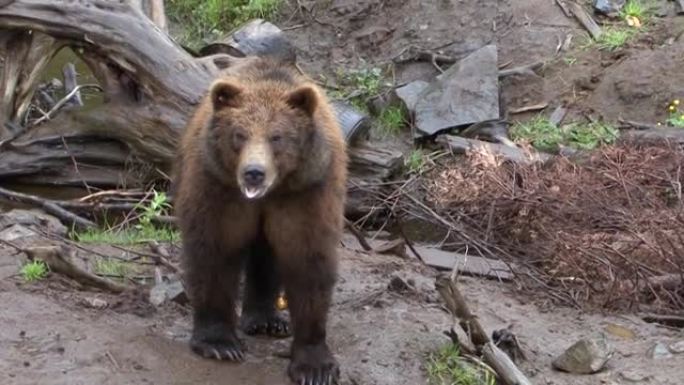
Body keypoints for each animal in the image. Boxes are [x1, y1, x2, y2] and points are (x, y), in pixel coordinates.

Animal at [172, 56, 348, 384]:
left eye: (277, 136)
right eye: (239, 134)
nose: (254, 172)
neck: (271, 192)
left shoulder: (305, 194)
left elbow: (308, 261)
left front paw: (315, 365)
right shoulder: (217, 188)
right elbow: (214, 251)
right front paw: (219, 344)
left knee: (268, 253)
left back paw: (268, 319)